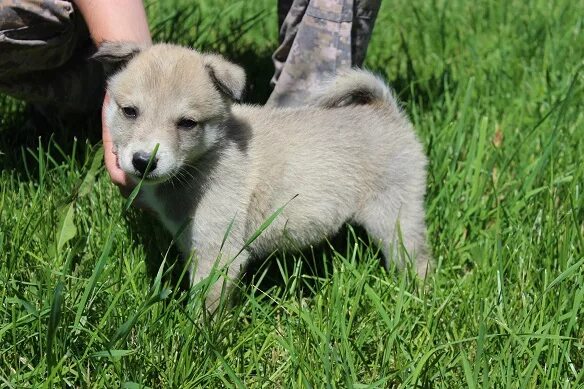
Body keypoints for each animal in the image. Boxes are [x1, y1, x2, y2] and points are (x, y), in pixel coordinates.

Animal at [93, 42, 428, 308]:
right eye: (130, 111)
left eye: (187, 123)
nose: (144, 161)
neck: (210, 156)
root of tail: (385, 111)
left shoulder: (220, 253)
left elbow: (207, 303)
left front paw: (198, 340)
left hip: (395, 216)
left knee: (417, 256)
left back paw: (418, 296)